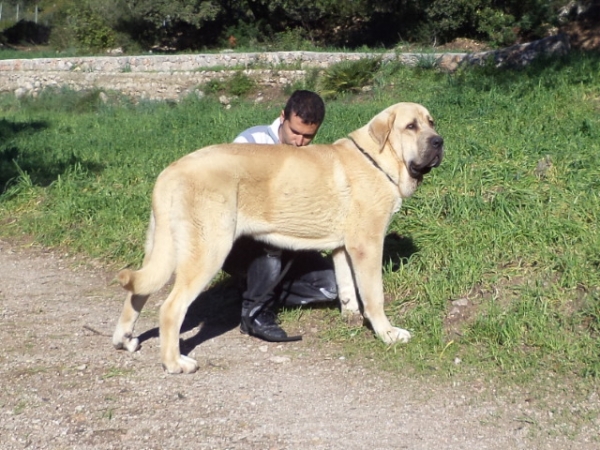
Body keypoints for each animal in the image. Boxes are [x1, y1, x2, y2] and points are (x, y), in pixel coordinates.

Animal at [113, 102, 440, 372]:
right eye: (411, 126)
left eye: (431, 122)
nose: (439, 141)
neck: (378, 159)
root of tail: (170, 172)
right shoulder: (367, 245)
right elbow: (375, 296)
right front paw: (388, 333)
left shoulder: (344, 248)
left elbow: (347, 286)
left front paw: (351, 317)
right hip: (208, 251)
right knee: (170, 308)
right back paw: (175, 363)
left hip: (163, 248)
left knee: (137, 292)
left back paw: (125, 339)